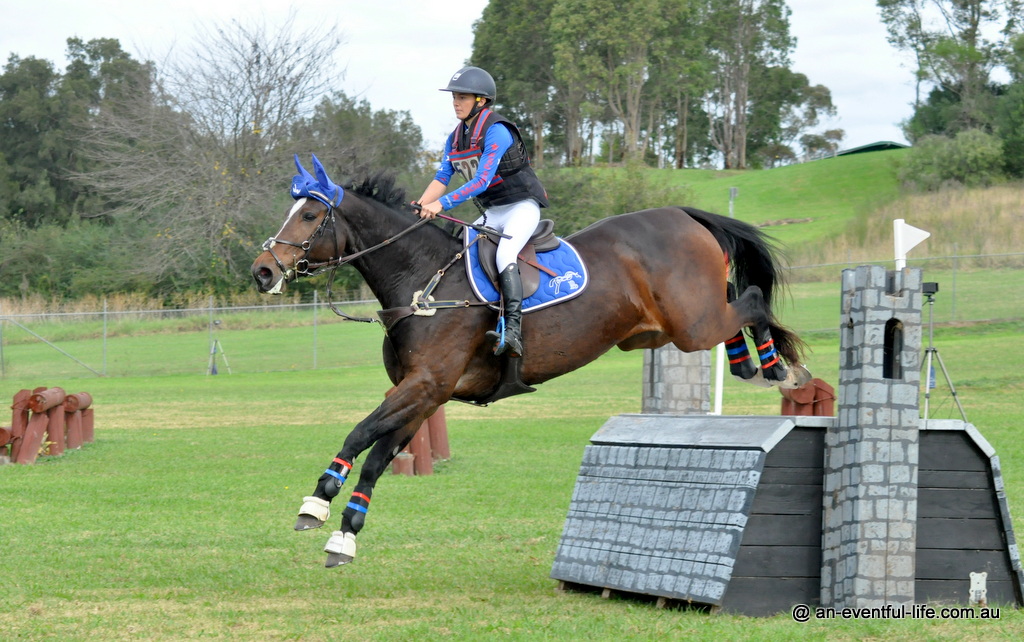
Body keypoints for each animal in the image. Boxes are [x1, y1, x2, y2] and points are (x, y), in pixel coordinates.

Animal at [251, 155, 811, 568]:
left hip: (691, 326)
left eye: (308, 216)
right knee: (735, 305)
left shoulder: (424, 385)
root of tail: (682, 213)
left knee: (751, 299)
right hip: (663, 331)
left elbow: (359, 435)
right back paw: (748, 364)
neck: (422, 280)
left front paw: (317, 503)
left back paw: (779, 370)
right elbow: (377, 455)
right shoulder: (425, 392)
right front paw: (345, 536)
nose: (262, 272)